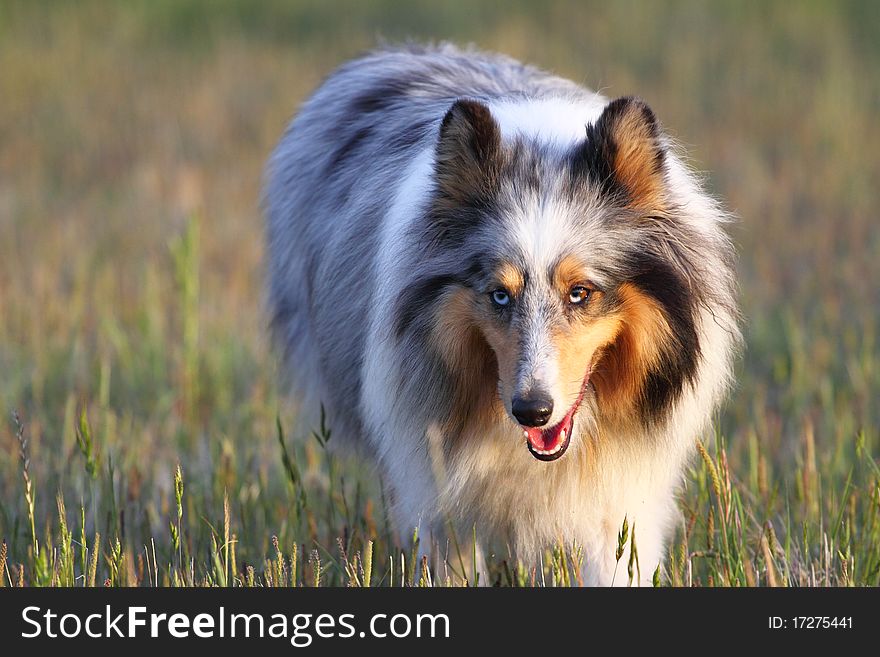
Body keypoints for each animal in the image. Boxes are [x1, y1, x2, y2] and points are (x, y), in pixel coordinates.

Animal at [264, 43, 740, 580]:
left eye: (580, 292)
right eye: (499, 295)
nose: (532, 410)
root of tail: (398, 51)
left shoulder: (616, 506)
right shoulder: (442, 496)